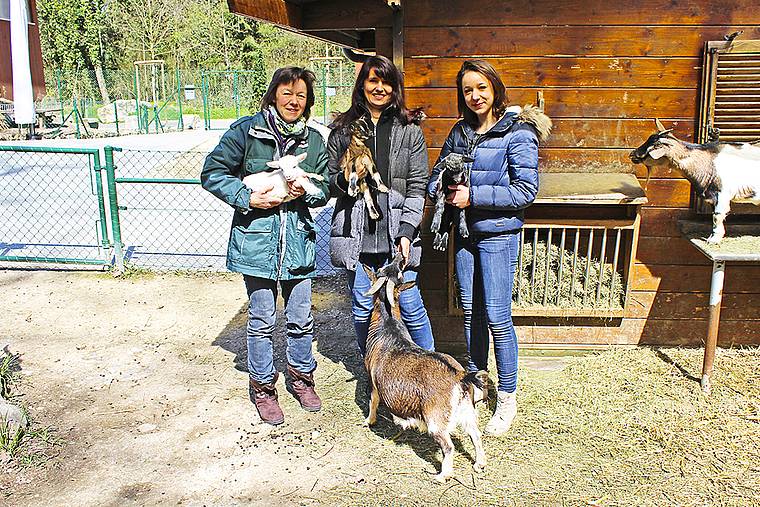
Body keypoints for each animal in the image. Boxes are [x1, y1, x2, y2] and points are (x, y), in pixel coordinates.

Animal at [360, 254, 490, 484]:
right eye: (390, 268)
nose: (400, 256)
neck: (388, 325)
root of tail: (460, 376)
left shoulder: (373, 379)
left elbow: (373, 400)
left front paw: (369, 421)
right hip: (467, 410)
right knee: (475, 434)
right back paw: (479, 463)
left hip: (436, 419)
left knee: (448, 446)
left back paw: (442, 475)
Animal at [632, 121, 760, 244]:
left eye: (651, 148)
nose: (632, 154)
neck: (707, 160)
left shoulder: (721, 193)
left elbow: (717, 216)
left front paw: (713, 240)